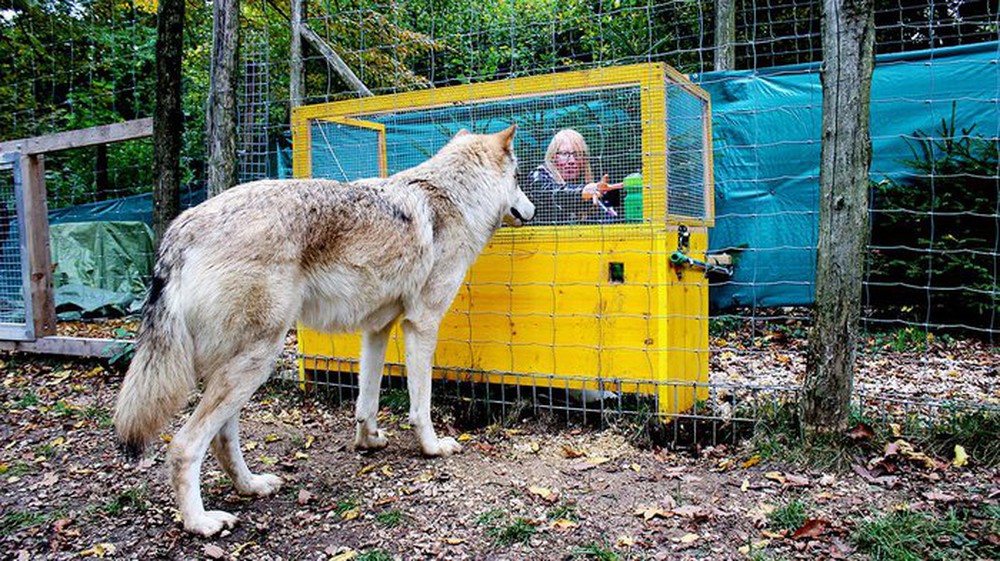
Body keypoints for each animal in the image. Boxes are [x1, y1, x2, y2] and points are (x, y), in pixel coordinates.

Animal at [111, 126, 532, 532]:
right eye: (518, 178)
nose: (531, 209)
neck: (456, 197)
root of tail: (178, 231)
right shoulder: (422, 324)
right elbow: (421, 405)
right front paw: (432, 448)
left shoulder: (377, 329)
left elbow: (367, 401)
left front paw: (368, 441)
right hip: (256, 360)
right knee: (185, 446)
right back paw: (201, 523)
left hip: (239, 369)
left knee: (222, 439)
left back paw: (252, 486)